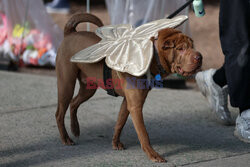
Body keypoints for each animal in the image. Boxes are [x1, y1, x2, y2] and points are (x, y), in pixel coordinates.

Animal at [55, 13, 202, 162]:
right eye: (181, 49)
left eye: (192, 46)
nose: (200, 57)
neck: (153, 56)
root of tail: (70, 33)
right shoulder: (135, 106)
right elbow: (143, 133)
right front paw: (152, 154)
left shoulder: (128, 102)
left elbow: (120, 122)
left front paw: (115, 143)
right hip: (66, 84)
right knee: (59, 113)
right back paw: (66, 138)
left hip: (88, 88)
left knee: (74, 103)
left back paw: (75, 129)